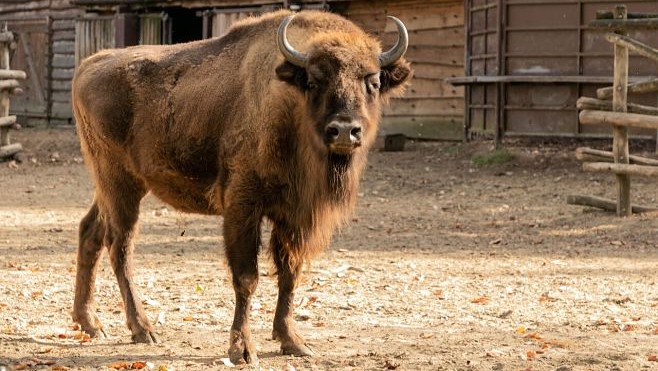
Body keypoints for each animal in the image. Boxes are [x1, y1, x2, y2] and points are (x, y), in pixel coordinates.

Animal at [72, 9, 410, 366]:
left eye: (373, 82)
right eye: (313, 81)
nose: (345, 130)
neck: (289, 106)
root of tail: (89, 64)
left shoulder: (294, 217)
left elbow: (290, 274)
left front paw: (292, 341)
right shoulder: (242, 207)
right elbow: (247, 278)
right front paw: (242, 349)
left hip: (113, 186)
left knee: (90, 232)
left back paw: (89, 323)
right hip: (119, 182)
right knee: (119, 246)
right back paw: (142, 329)